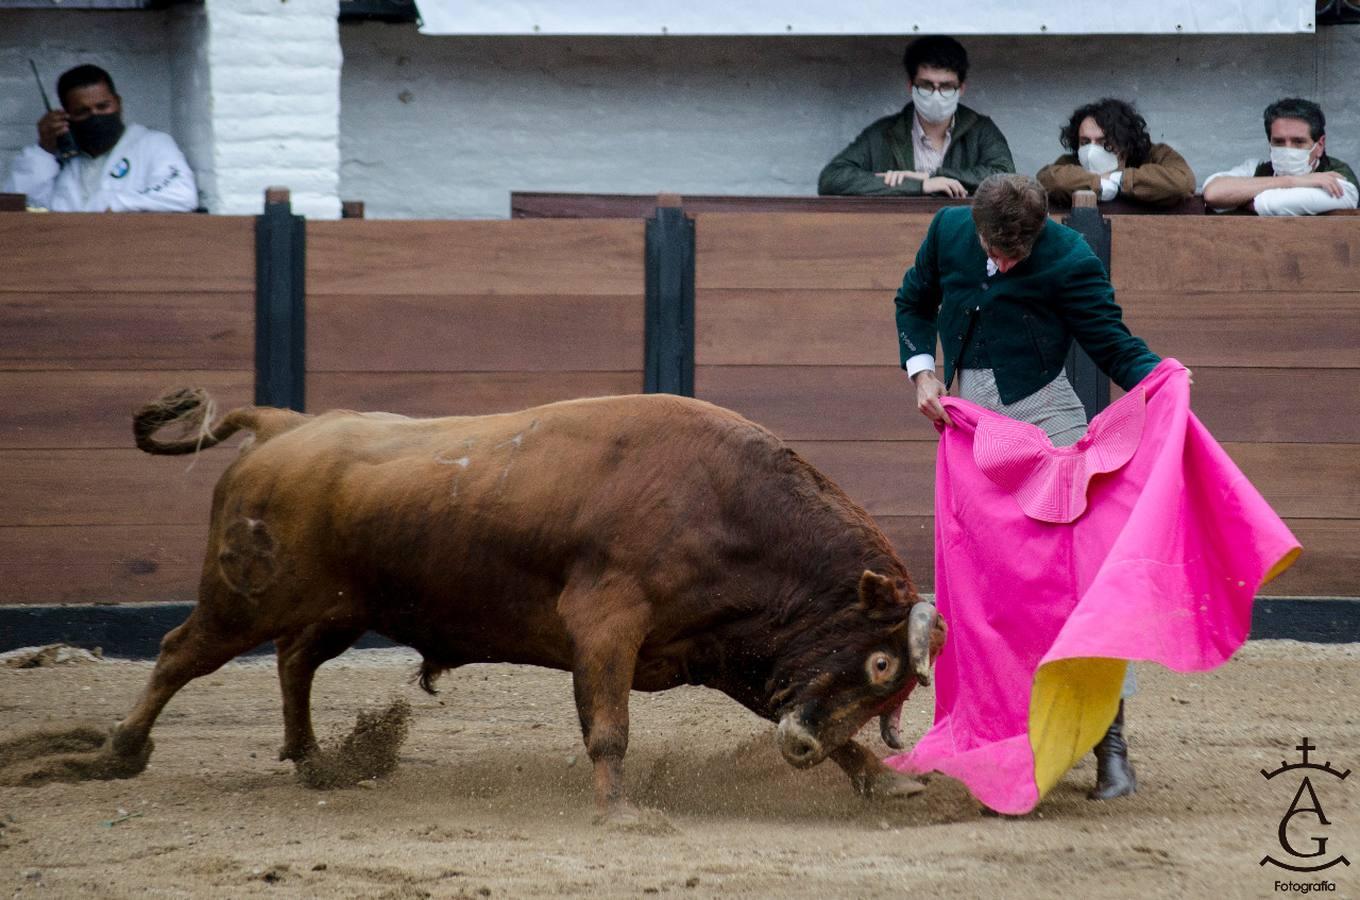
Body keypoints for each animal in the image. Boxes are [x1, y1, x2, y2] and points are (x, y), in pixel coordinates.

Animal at [98, 391, 946, 821]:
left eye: (895, 690)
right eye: (879, 663)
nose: (797, 753)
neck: (730, 507)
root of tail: (286, 427)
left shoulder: (731, 652)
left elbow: (810, 720)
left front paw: (887, 781)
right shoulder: (607, 623)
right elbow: (608, 727)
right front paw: (620, 813)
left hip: (341, 607)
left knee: (294, 659)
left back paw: (315, 761)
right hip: (244, 599)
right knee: (181, 654)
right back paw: (117, 753)